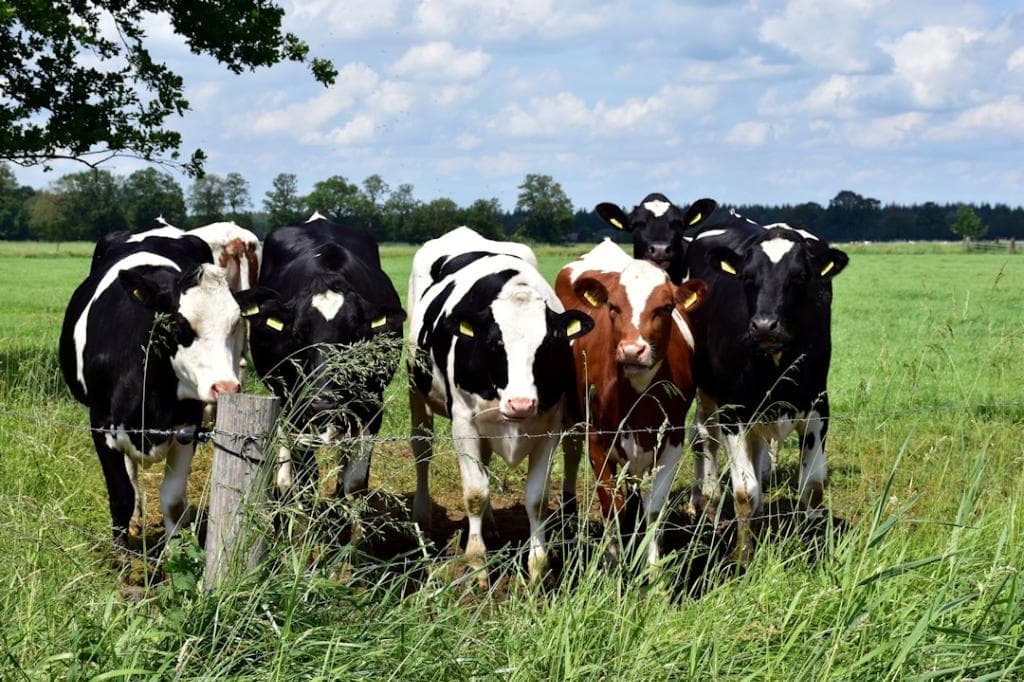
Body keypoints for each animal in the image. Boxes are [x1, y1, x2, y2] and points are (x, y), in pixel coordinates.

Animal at [58, 219, 256, 547]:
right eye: (181, 324)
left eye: (235, 324)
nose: (226, 388)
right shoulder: (100, 423)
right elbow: (121, 495)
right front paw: (121, 552)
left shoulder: (188, 426)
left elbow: (173, 501)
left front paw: (174, 551)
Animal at [239, 212, 405, 502]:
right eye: (297, 333)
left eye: (354, 335)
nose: (323, 404)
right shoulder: (298, 411)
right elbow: (307, 480)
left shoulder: (373, 408)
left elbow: (353, 484)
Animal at [408, 226, 594, 585]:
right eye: (495, 343)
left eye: (548, 344)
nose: (521, 404)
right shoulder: (463, 423)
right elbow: (474, 493)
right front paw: (477, 564)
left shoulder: (549, 426)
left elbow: (536, 498)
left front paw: (537, 567)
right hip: (416, 388)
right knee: (422, 449)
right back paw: (423, 515)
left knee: (485, 460)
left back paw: (491, 522)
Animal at [555, 239, 706, 569]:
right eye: (613, 307)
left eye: (665, 307)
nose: (632, 350)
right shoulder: (598, 441)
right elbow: (611, 506)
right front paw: (613, 564)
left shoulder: (672, 438)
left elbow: (655, 508)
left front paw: (653, 568)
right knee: (570, 451)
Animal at [684, 210, 849, 562]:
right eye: (747, 278)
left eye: (800, 277)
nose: (764, 326)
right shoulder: (733, 412)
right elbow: (745, 492)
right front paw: (743, 558)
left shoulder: (818, 407)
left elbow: (812, 487)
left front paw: (813, 549)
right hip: (707, 392)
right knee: (704, 437)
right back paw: (707, 504)